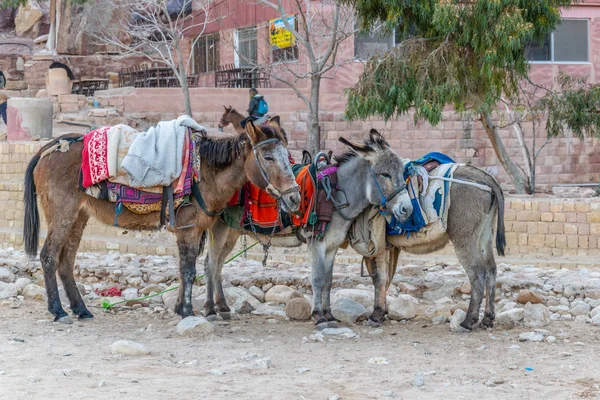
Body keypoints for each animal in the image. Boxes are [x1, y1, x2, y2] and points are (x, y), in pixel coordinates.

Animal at [23, 119, 300, 324]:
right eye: (268, 157)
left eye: (288, 156)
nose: (295, 197)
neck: (206, 172)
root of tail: (47, 149)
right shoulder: (189, 228)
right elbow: (188, 270)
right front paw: (187, 311)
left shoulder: (197, 229)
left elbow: (185, 269)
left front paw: (181, 308)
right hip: (62, 213)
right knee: (48, 256)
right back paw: (58, 310)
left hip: (78, 216)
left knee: (66, 261)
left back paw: (81, 309)